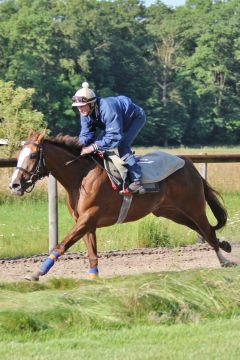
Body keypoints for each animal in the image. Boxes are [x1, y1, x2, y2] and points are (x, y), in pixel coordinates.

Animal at [8, 129, 234, 282]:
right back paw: (225, 245)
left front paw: (36, 272)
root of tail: (188, 163)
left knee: (206, 229)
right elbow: (91, 251)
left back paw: (224, 259)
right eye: (19, 155)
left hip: (193, 206)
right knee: (202, 230)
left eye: (33, 155)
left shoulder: (89, 216)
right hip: (170, 212)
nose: (14, 184)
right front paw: (94, 277)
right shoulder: (85, 220)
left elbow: (62, 244)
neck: (81, 176)